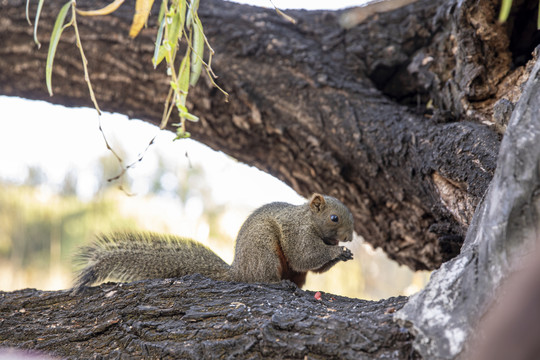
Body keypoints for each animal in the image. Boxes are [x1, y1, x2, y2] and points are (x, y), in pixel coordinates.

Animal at [74, 193, 356, 292]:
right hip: (264, 251)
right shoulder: (298, 233)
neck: (309, 219)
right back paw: (276, 283)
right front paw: (337, 251)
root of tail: (238, 270)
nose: (350, 238)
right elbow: (304, 256)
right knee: (261, 278)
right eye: (334, 218)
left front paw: (343, 253)